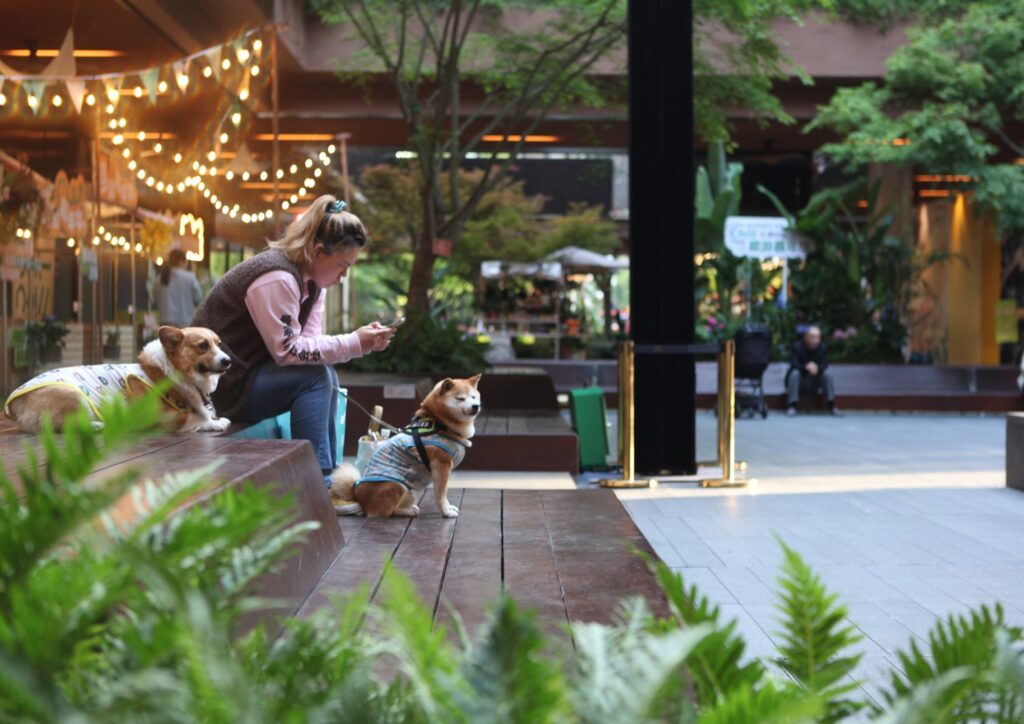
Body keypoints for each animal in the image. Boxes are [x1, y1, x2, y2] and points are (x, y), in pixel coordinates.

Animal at [4, 325, 232, 434]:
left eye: (219, 343)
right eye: (203, 345)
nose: (228, 361)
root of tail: (14, 404)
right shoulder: (155, 417)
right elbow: (193, 418)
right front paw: (216, 423)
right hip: (73, 396)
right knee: (66, 426)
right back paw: (99, 426)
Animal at [331, 374, 483, 520]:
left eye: (474, 397)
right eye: (461, 398)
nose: (476, 406)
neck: (438, 423)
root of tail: (357, 494)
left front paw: (449, 508)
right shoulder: (441, 465)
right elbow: (441, 494)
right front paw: (446, 512)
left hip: (409, 493)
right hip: (396, 486)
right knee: (380, 513)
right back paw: (410, 511)